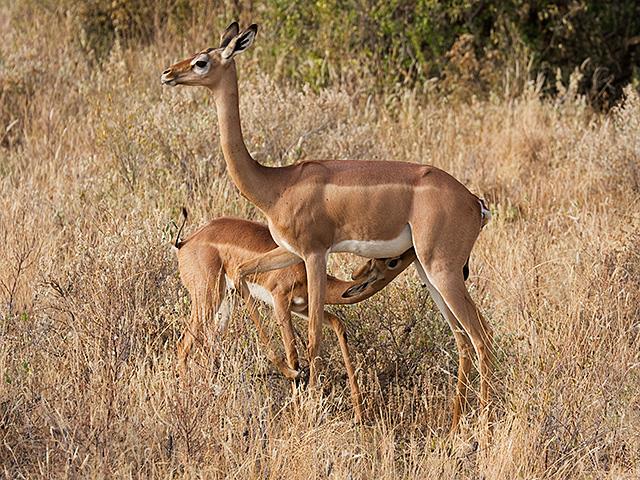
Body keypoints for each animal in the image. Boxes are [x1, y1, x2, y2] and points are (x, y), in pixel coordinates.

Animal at [173, 209, 416, 421]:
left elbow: (338, 325)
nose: (412, 249)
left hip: (225, 301)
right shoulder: (280, 301)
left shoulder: (302, 309)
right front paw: (299, 400)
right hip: (208, 298)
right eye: (392, 261)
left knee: (210, 345)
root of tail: (186, 242)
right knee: (184, 344)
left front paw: (359, 415)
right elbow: (292, 352)